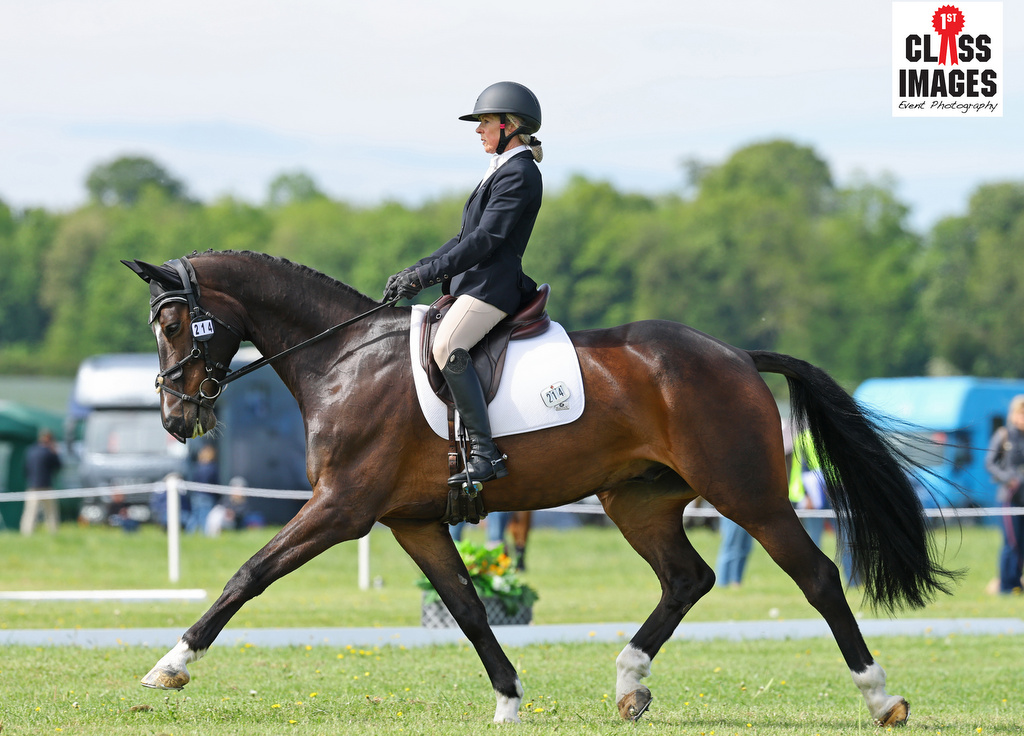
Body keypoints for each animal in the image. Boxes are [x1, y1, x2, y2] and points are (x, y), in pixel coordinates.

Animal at [123, 249, 957, 727]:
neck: (343, 358)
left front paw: (170, 665)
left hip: (746, 493)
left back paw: (882, 697)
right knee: (687, 578)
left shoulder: (343, 508)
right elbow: (467, 607)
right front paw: (509, 699)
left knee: (816, 577)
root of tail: (736, 356)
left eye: (173, 327)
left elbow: (248, 575)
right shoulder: (411, 521)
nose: (174, 418)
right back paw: (630, 685)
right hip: (639, 500)